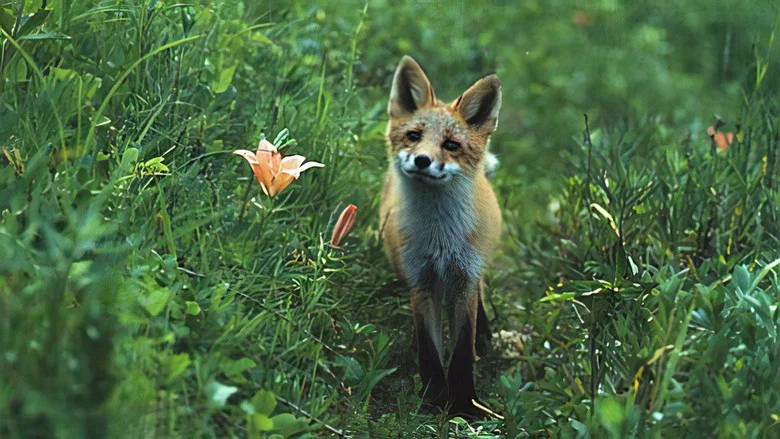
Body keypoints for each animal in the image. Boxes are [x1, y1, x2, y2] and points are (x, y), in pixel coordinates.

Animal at [379, 56, 502, 416]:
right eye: (414, 136)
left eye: (451, 145)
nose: (422, 160)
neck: (440, 240)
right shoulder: (421, 281)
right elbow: (430, 352)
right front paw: (433, 402)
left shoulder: (463, 279)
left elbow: (461, 351)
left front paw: (464, 406)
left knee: (480, 295)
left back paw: (485, 337)